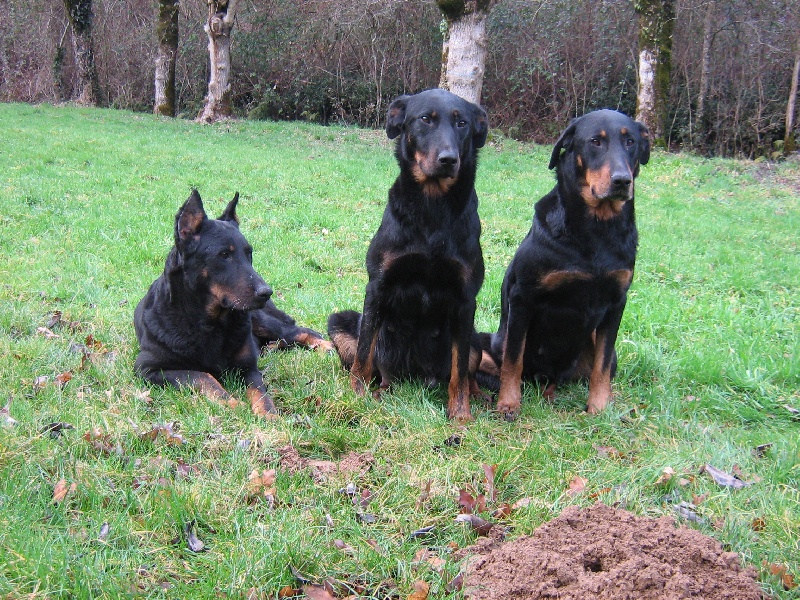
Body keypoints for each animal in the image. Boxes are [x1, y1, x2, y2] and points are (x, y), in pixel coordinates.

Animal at [134, 192, 328, 418]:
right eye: (224, 255)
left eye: (249, 253)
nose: (266, 292)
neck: (209, 322)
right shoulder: (148, 369)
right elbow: (203, 376)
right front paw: (232, 402)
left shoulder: (249, 368)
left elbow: (260, 392)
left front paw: (268, 413)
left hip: (262, 321)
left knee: (300, 331)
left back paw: (328, 346)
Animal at [324, 89, 488, 424]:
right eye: (425, 119)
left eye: (462, 123)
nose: (449, 159)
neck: (432, 209)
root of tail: (418, 376)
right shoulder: (378, 286)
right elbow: (364, 354)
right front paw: (356, 396)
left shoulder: (466, 299)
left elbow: (460, 370)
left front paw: (460, 413)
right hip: (342, 324)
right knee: (378, 368)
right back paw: (378, 391)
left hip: (475, 337)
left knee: (468, 368)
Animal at [482, 109, 648, 418]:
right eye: (595, 141)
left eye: (630, 141)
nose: (622, 180)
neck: (596, 231)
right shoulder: (522, 297)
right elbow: (513, 360)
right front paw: (509, 403)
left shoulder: (617, 301)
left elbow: (601, 367)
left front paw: (599, 408)